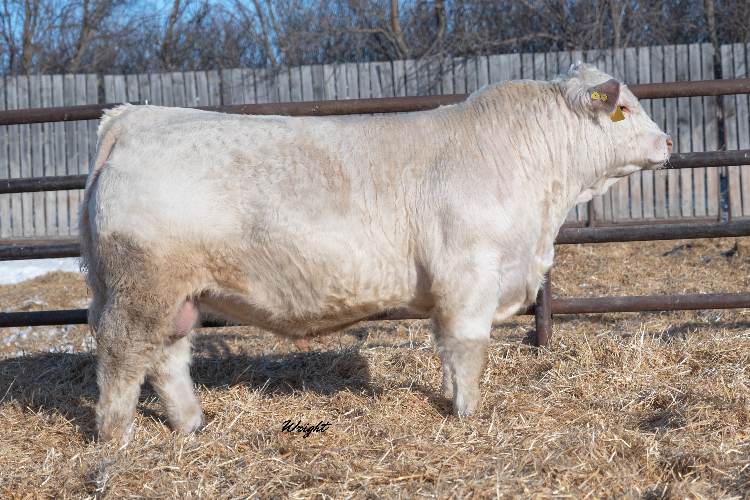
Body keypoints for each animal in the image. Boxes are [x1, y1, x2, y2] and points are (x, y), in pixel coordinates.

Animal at [80, 62, 672, 443]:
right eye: (624, 107)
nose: (668, 141)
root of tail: (136, 118)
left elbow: (447, 350)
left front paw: (451, 398)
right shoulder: (470, 272)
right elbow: (468, 348)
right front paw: (468, 412)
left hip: (178, 294)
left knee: (167, 357)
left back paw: (190, 424)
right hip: (143, 285)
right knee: (122, 356)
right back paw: (116, 436)